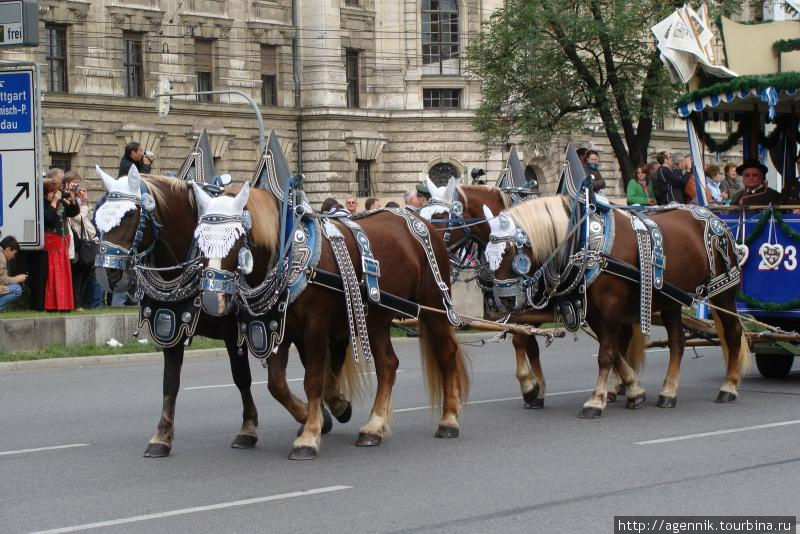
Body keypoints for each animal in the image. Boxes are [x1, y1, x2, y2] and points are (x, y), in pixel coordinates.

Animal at [192, 184, 468, 460]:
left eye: (236, 239)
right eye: (199, 240)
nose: (212, 299)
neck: (291, 257)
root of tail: (422, 222)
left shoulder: (315, 328)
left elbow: (313, 380)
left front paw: (309, 435)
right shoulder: (278, 329)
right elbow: (277, 385)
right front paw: (321, 415)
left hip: (435, 306)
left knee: (446, 354)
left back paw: (449, 420)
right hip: (375, 319)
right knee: (388, 365)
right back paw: (374, 426)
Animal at [484, 196, 752, 418]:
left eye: (511, 252)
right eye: (488, 254)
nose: (503, 300)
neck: (586, 243)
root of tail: (716, 218)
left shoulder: (611, 309)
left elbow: (607, 354)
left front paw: (595, 401)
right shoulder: (594, 312)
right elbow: (613, 353)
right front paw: (634, 390)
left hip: (723, 291)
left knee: (732, 333)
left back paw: (729, 386)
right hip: (672, 301)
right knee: (677, 341)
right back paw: (668, 391)